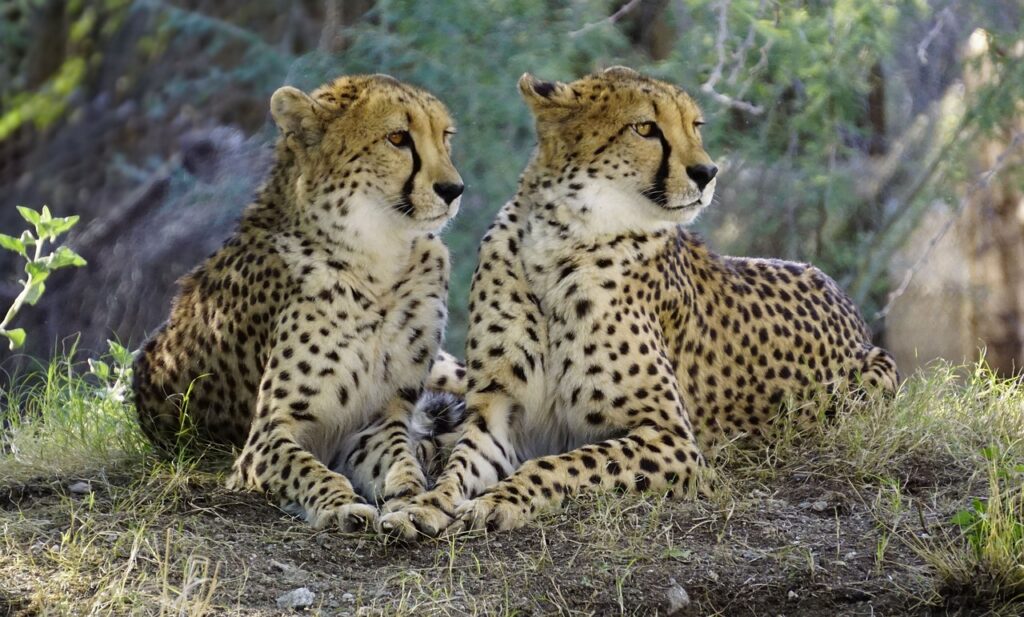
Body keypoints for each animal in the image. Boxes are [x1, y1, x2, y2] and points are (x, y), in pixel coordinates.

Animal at [135, 73, 468, 532]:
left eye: (445, 136)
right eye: (398, 137)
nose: (453, 189)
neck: (378, 259)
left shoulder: (378, 421)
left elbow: (402, 463)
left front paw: (411, 500)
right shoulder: (267, 437)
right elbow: (309, 469)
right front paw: (341, 505)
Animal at [380, 63, 901, 536]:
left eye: (695, 126)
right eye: (646, 128)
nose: (707, 172)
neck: (560, 238)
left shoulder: (672, 438)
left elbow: (564, 462)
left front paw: (501, 500)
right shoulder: (498, 409)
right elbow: (461, 465)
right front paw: (424, 505)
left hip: (872, 378)